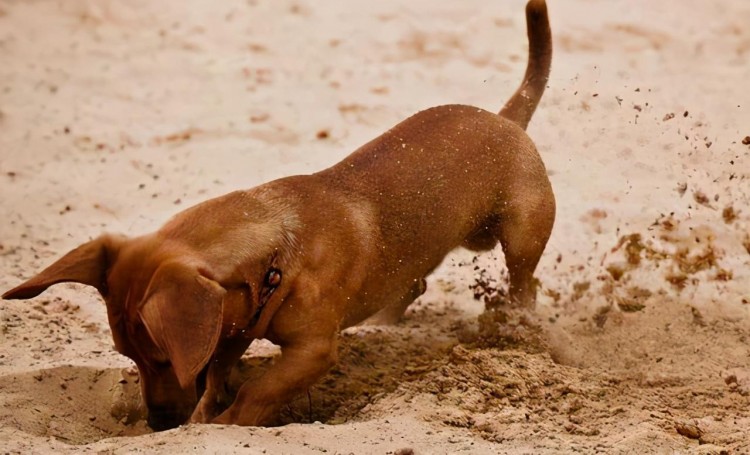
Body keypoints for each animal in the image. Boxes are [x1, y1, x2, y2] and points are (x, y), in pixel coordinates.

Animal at [0, 0, 552, 432]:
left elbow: (256, 393)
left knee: (524, 284)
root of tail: (505, 118)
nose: (158, 423)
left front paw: (223, 424)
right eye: (129, 357)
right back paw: (385, 323)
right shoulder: (230, 329)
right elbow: (218, 373)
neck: (281, 248)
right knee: (411, 284)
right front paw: (207, 411)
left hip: (523, 237)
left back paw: (519, 326)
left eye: (160, 358)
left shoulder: (310, 353)